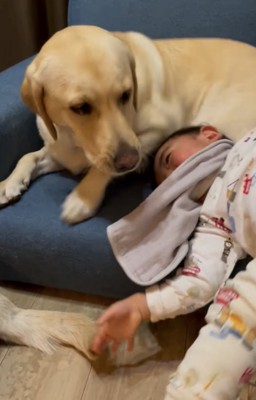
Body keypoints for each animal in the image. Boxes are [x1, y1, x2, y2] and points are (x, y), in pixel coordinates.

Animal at [1, 25, 256, 223]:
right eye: (80, 107)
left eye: (126, 94)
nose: (129, 161)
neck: (75, 140)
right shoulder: (61, 152)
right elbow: (29, 156)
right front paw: (9, 183)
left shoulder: (160, 128)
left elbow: (101, 169)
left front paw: (82, 198)